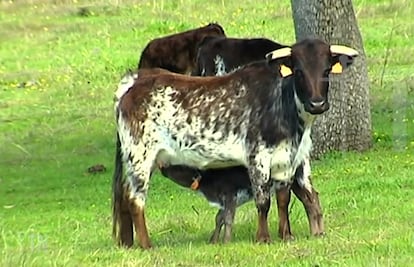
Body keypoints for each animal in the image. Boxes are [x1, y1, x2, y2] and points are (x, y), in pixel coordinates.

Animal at [113, 38, 360, 250]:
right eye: (298, 71)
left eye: (326, 71)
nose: (317, 104)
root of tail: (136, 79)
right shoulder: (257, 156)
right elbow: (263, 200)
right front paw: (263, 238)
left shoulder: (287, 159)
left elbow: (283, 198)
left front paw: (286, 235)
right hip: (140, 155)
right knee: (135, 199)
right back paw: (146, 245)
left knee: (124, 197)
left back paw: (128, 243)